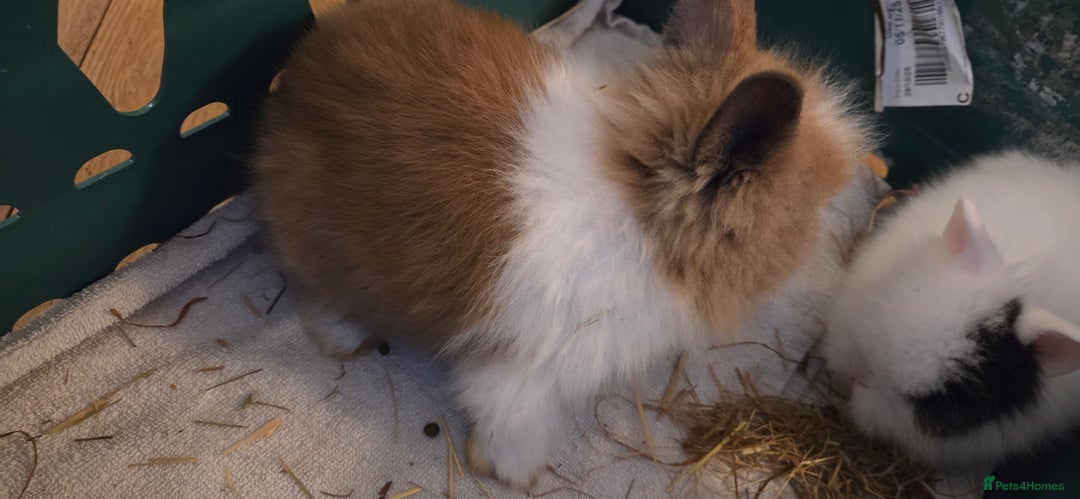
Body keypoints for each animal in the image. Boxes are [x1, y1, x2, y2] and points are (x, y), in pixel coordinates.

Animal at [253, 0, 874, 489]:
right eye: (802, 214)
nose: (821, 255)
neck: (643, 211)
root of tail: (285, 91)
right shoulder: (525, 368)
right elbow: (509, 415)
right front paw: (515, 474)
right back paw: (344, 340)